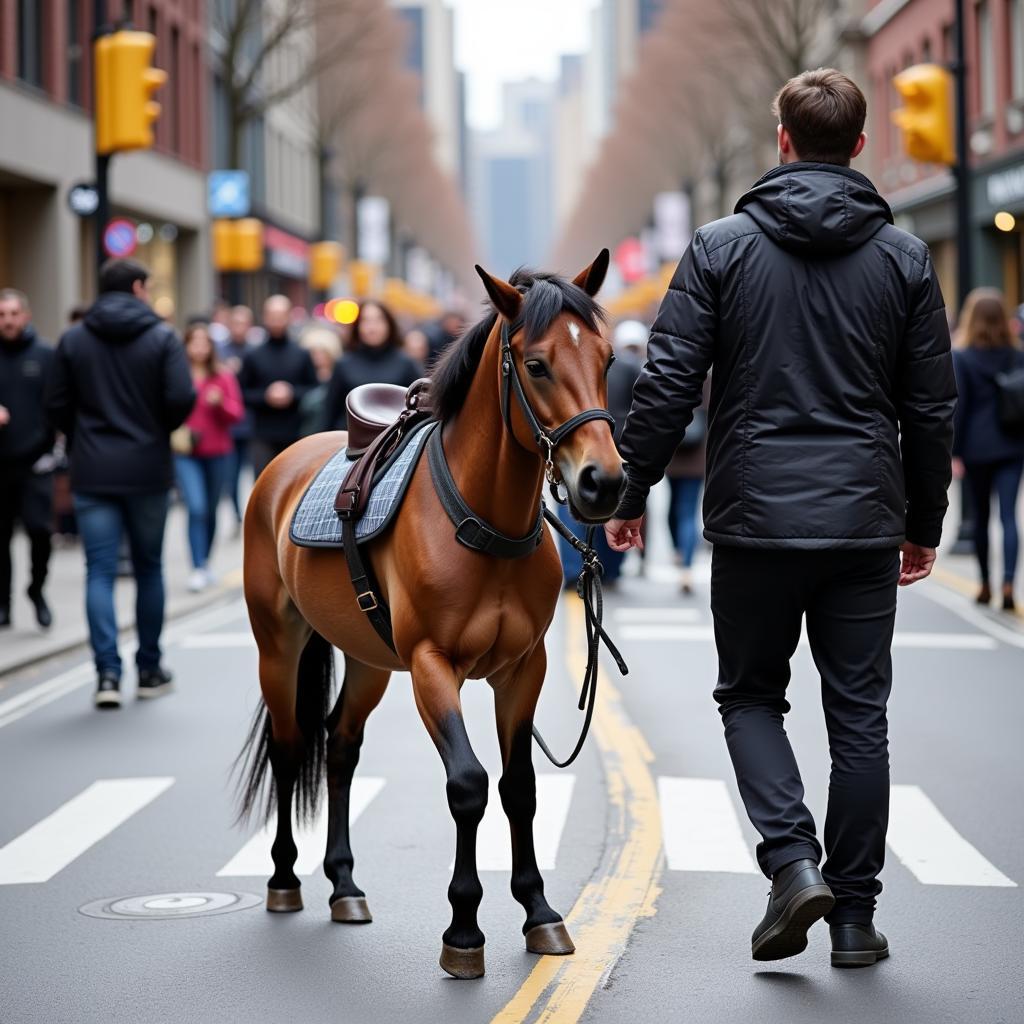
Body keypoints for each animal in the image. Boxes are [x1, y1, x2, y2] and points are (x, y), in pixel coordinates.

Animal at [237, 251, 622, 978]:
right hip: (279, 645)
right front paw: (464, 929)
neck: (485, 522)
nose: (604, 482)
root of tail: (283, 463)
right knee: (290, 746)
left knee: (340, 745)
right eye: (537, 365)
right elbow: (468, 784)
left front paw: (539, 911)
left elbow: (520, 786)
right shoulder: (430, 666)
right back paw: (284, 878)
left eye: (610, 359)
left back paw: (344, 884)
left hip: (366, 658)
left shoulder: (523, 668)